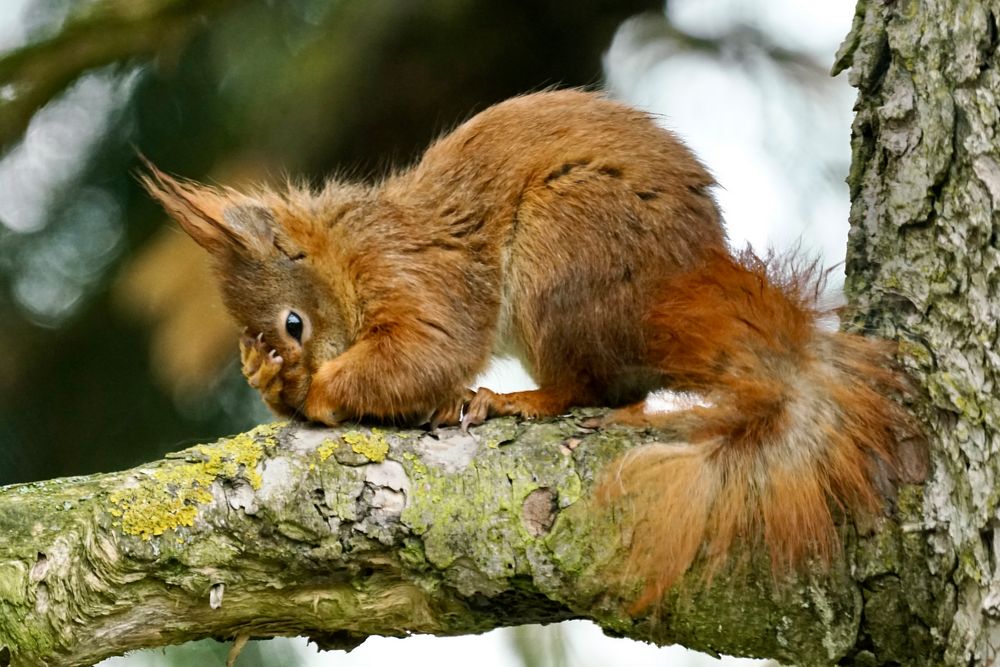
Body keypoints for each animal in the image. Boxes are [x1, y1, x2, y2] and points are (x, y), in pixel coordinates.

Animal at [145, 90, 916, 612]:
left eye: (295, 323)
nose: (281, 364)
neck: (344, 250)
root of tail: (678, 294)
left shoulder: (412, 275)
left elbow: (429, 352)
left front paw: (316, 389)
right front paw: (267, 380)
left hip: (563, 253)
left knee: (590, 389)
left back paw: (510, 399)